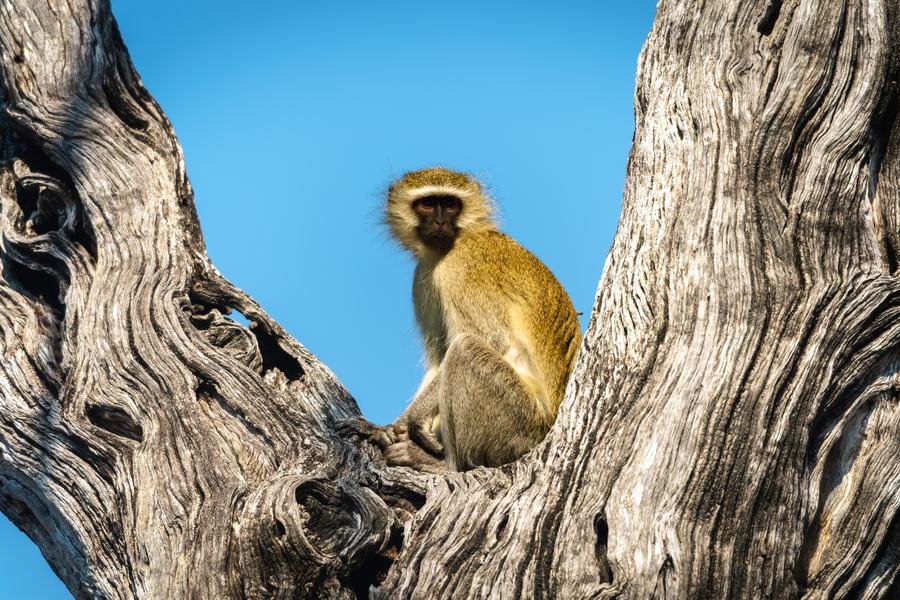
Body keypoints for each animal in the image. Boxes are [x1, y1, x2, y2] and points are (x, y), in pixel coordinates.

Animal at [353, 167, 581, 473]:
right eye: (428, 204)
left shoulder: (462, 266)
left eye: (450, 204)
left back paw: (445, 465)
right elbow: (438, 358)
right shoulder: (423, 276)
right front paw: (390, 426)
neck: (456, 242)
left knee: (465, 349)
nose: (440, 221)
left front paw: (411, 422)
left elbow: (490, 339)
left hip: (521, 423)